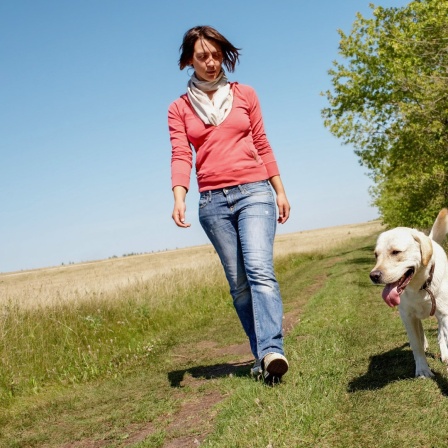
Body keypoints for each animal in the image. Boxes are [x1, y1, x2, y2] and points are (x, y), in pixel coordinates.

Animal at [370, 209, 448, 378]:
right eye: (376, 255)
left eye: (396, 252)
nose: (373, 276)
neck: (420, 287)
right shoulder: (407, 317)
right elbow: (416, 345)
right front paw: (423, 370)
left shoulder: (445, 314)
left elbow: (444, 334)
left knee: (440, 334)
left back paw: (444, 353)